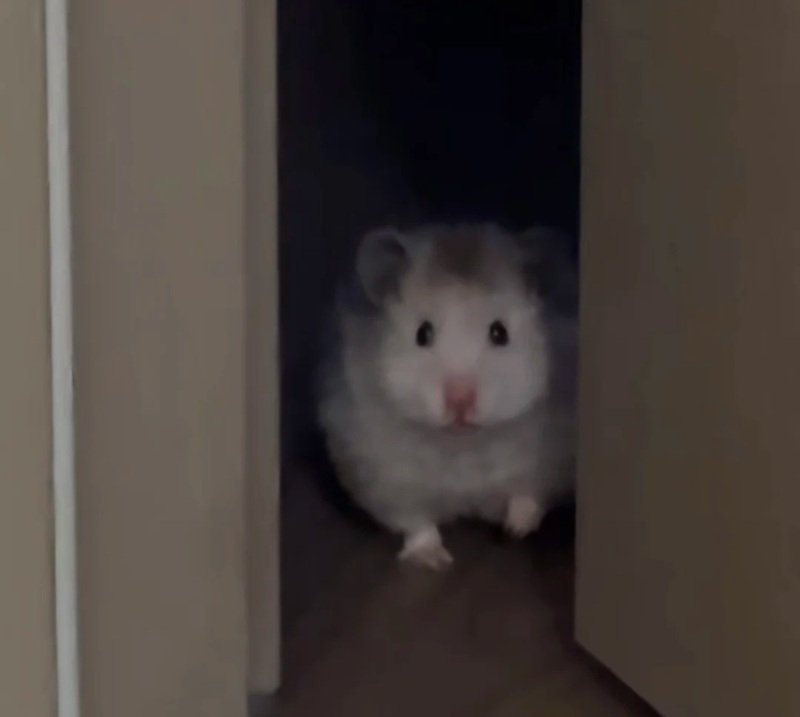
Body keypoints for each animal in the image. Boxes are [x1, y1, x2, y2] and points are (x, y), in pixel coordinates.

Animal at [317, 223, 577, 569]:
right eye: (422, 334)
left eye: (500, 332)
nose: (460, 402)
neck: (462, 444)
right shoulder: (384, 478)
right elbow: (416, 523)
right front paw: (435, 560)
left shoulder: (553, 456)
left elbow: (528, 494)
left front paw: (516, 528)